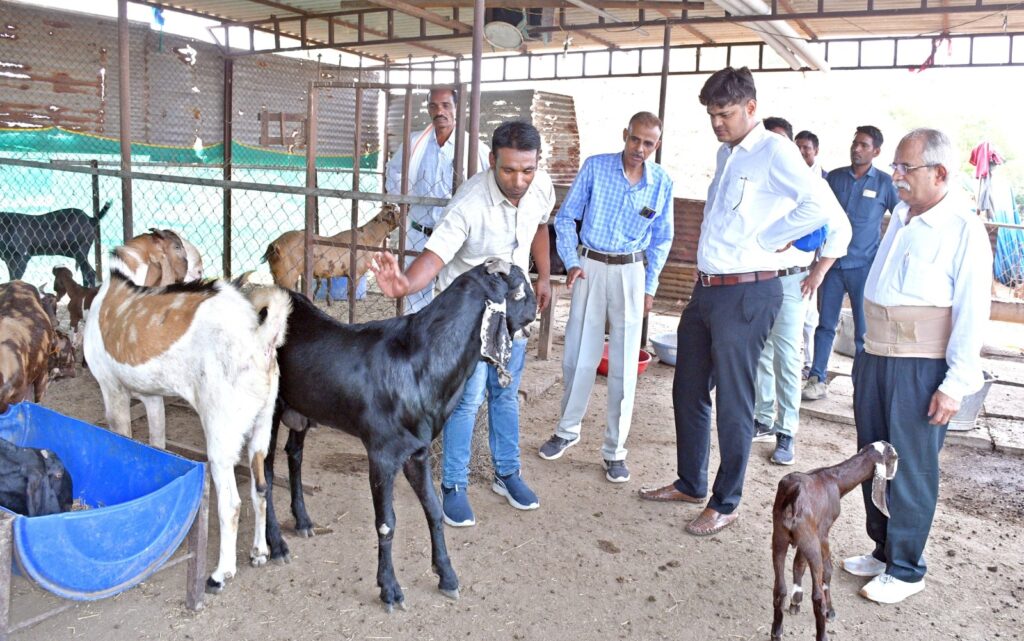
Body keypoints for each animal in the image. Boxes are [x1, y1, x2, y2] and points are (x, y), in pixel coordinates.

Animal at [82, 243, 292, 589]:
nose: (200, 270)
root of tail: (258, 339)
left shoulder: (112, 391)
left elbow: (122, 442)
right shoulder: (153, 398)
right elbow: (156, 444)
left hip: (220, 436)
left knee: (231, 504)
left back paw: (222, 572)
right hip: (262, 429)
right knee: (260, 489)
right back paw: (259, 551)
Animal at [262, 201, 401, 296]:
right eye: (398, 212)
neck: (368, 237)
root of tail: (274, 245)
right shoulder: (355, 275)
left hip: (276, 276)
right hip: (287, 277)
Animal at [264, 258, 536, 610]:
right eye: (520, 290)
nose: (538, 306)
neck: (418, 363)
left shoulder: (416, 451)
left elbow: (434, 509)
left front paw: (447, 576)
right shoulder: (382, 453)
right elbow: (386, 522)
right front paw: (390, 589)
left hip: (303, 410)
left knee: (294, 455)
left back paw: (303, 522)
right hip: (267, 412)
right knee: (265, 476)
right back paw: (276, 545)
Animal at [770, 438, 901, 638]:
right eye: (893, 457)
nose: (895, 473)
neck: (834, 479)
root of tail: (794, 495)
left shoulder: (806, 536)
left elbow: (799, 564)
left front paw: (796, 601)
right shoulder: (822, 532)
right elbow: (828, 572)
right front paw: (830, 611)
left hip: (780, 538)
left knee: (780, 588)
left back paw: (777, 632)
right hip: (810, 542)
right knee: (817, 595)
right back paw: (822, 632)